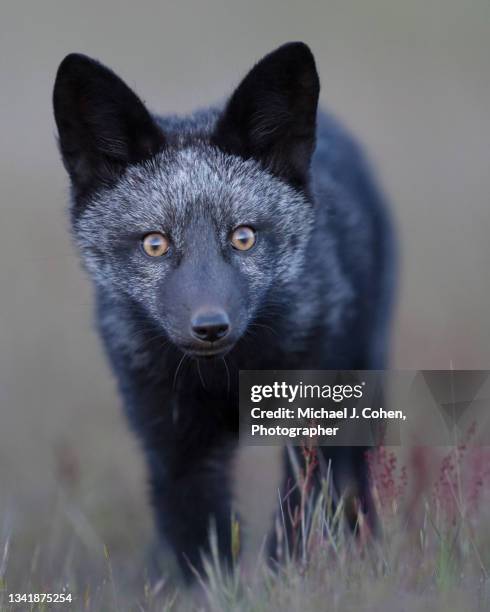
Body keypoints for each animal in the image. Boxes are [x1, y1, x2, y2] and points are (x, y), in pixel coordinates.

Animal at [52, 41, 394, 580]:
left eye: (243, 237)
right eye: (155, 244)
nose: (210, 326)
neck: (225, 379)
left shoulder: (315, 412)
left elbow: (300, 513)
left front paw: (288, 581)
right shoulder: (171, 435)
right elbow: (197, 536)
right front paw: (207, 589)